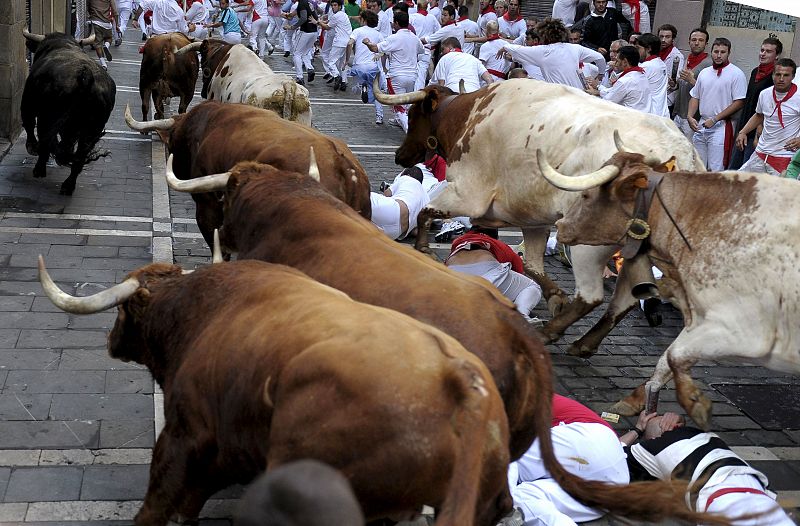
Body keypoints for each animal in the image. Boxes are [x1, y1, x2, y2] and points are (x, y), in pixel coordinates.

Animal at [39, 260, 512, 526]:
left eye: (122, 310)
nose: (111, 341)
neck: (197, 311)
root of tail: (455, 373)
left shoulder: (183, 434)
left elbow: (158, 502)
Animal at [540, 151, 800, 432]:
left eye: (587, 195)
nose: (560, 224)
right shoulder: (701, 320)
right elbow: (668, 357)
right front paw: (636, 400)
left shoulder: (743, 330)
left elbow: (675, 354)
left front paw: (695, 403)